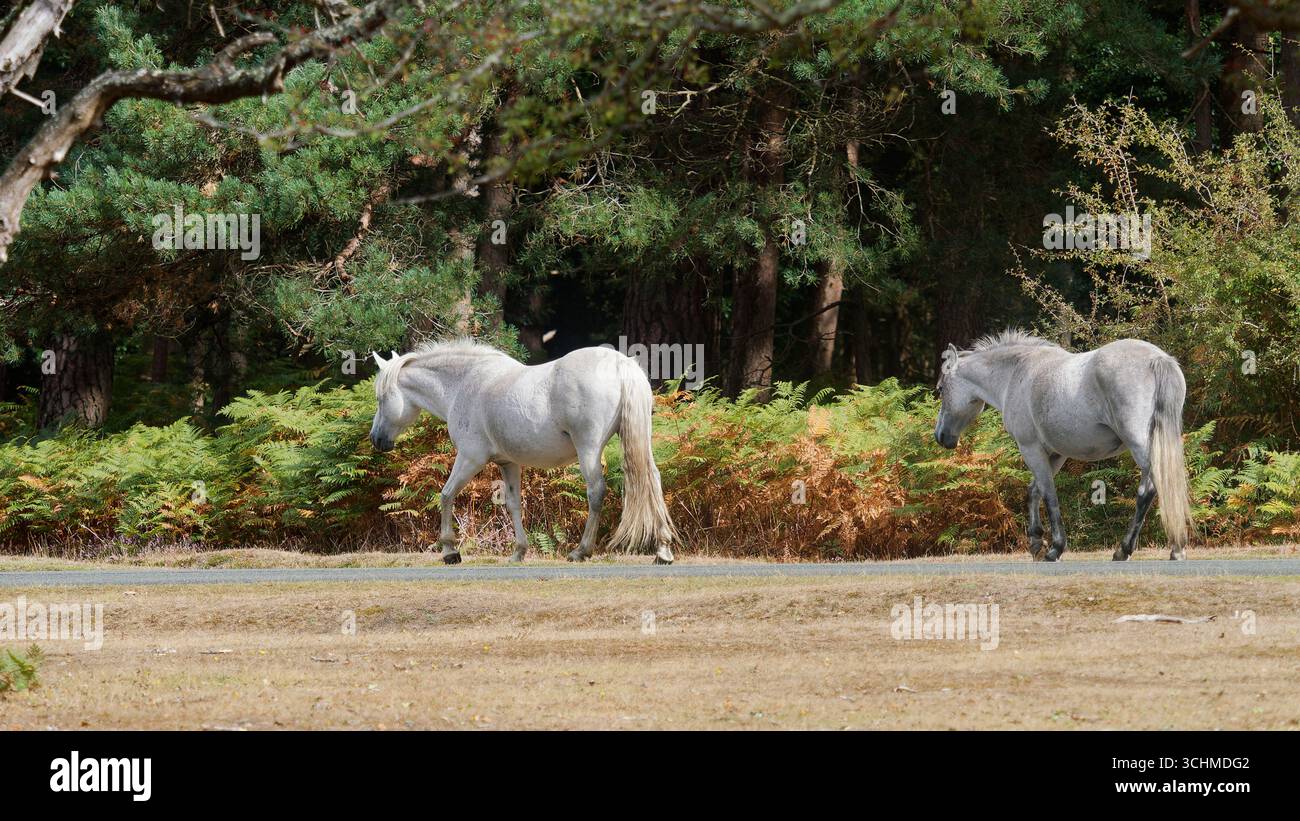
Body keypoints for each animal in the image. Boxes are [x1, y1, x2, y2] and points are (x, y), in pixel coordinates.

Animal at [368, 339, 678, 565]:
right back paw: (662, 550)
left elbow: (446, 495)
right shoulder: (508, 464)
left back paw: (581, 551)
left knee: (596, 492)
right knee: (653, 480)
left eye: (381, 398)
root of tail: (619, 364)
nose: (376, 439)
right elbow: (513, 504)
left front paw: (450, 551)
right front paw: (519, 551)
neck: (463, 384)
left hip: (588, 450)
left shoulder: (470, 458)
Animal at [933, 330, 1192, 562]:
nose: (940, 436)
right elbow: (1034, 491)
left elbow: (1049, 495)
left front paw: (1054, 548)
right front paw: (1036, 542)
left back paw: (1144, 549)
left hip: (1140, 446)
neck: (1016, 374)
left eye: (941, 389)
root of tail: (1157, 359)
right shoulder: (1055, 455)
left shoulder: (1031, 449)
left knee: (1151, 489)